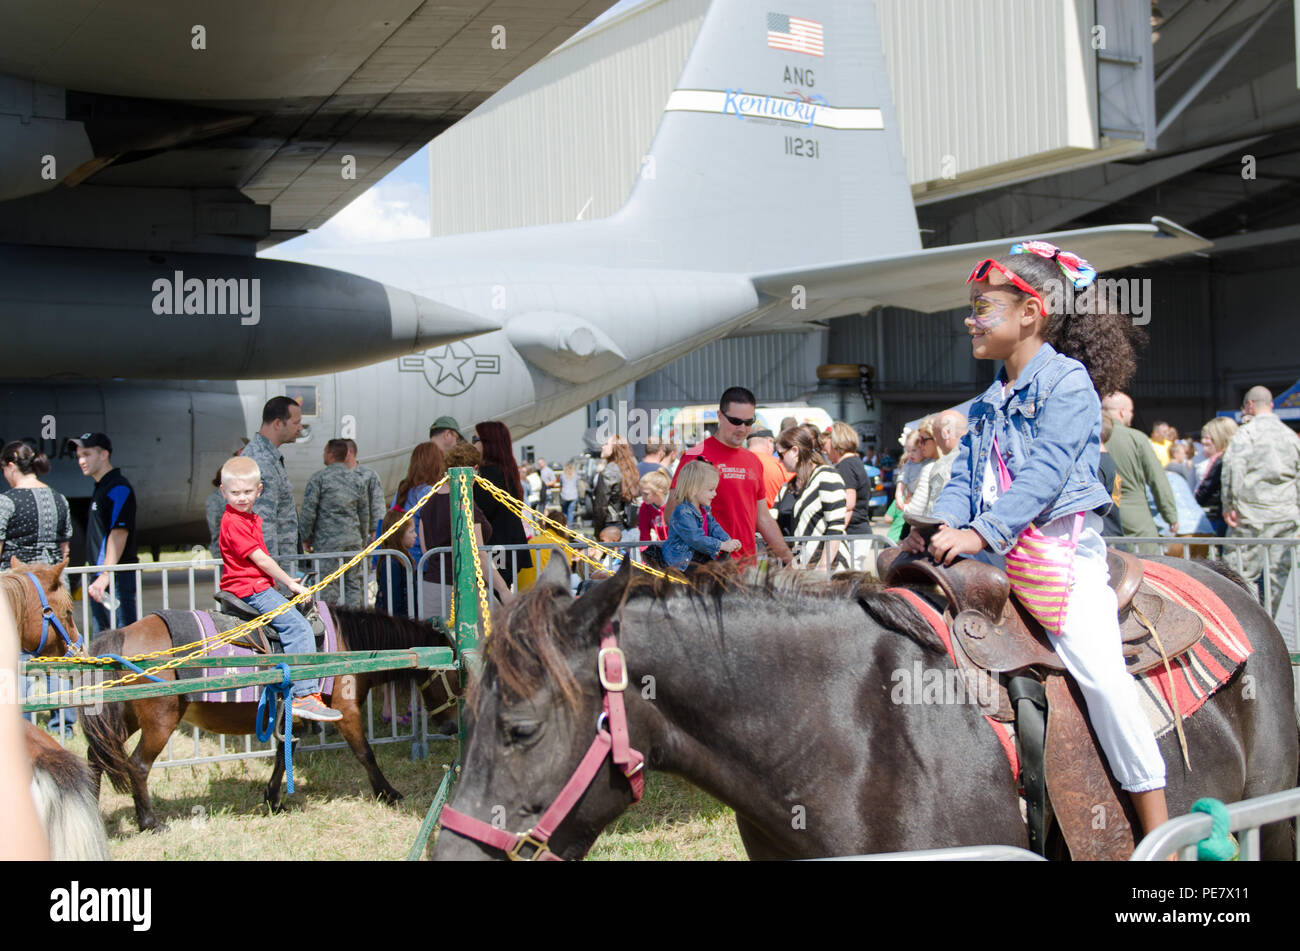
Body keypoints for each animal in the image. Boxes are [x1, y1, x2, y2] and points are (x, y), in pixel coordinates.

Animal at [79, 605, 457, 826]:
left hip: (125, 715)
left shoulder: (294, 713)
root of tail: (122, 633)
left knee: (96, 759)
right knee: (138, 766)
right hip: (160, 721)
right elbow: (365, 753)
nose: (453, 727)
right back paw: (149, 821)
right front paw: (388, 793)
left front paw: (273, 799)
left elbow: (283, 754)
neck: (352, 647)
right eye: (455, 675)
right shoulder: (346, 711)